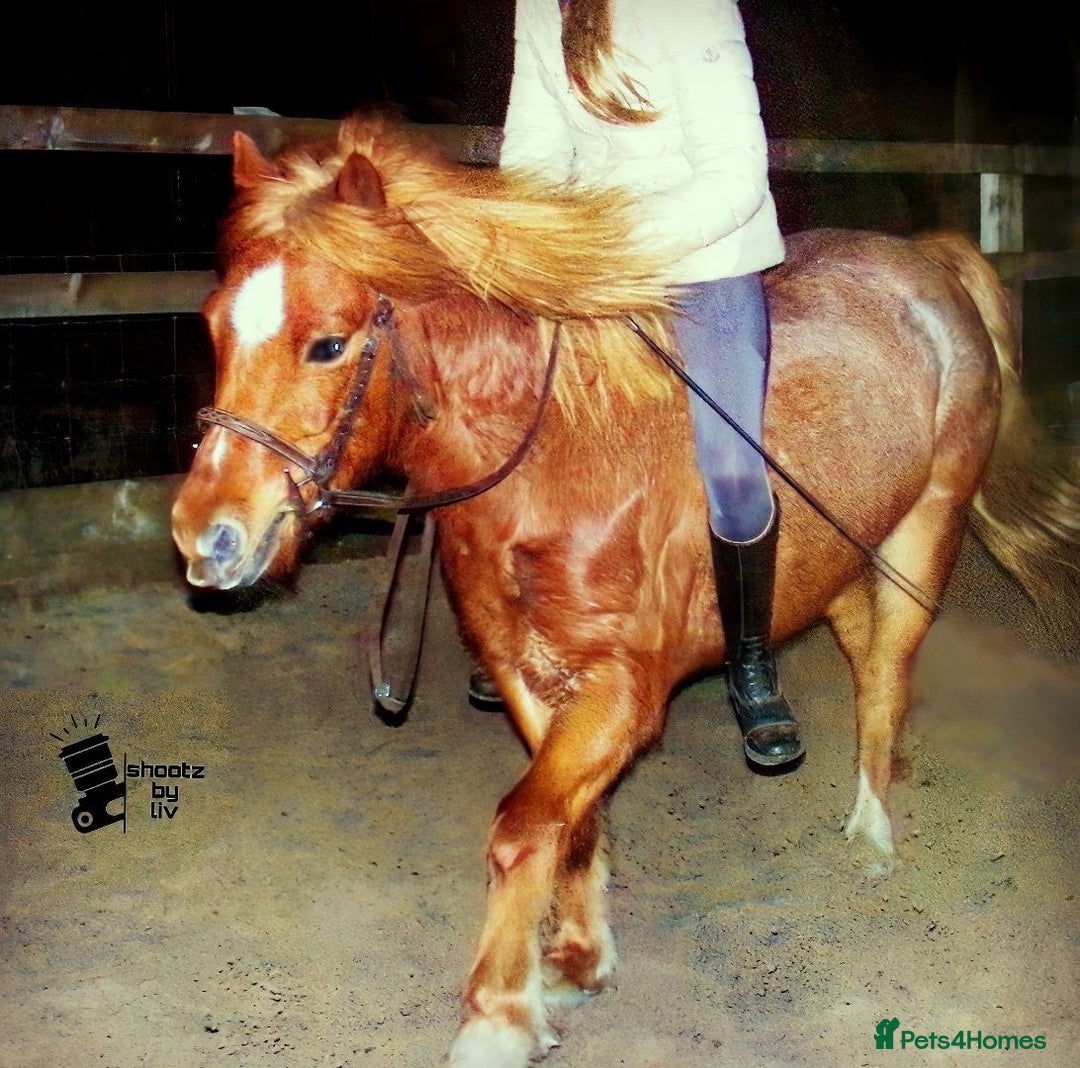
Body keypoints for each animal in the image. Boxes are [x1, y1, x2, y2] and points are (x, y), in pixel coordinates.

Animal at [171, 115, 1079, 1066]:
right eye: (214, 326)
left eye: (328, 343)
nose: (205, 535)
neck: (555, 457)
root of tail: (926, 261)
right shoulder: (529, 675)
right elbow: (568, 822)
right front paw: (576, 957)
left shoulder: (622, 687)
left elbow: (523, 826)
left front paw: (498, 1016)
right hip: (837, 550)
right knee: (862, 651)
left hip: (927, 527)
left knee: (888, 673)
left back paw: (870, 827)